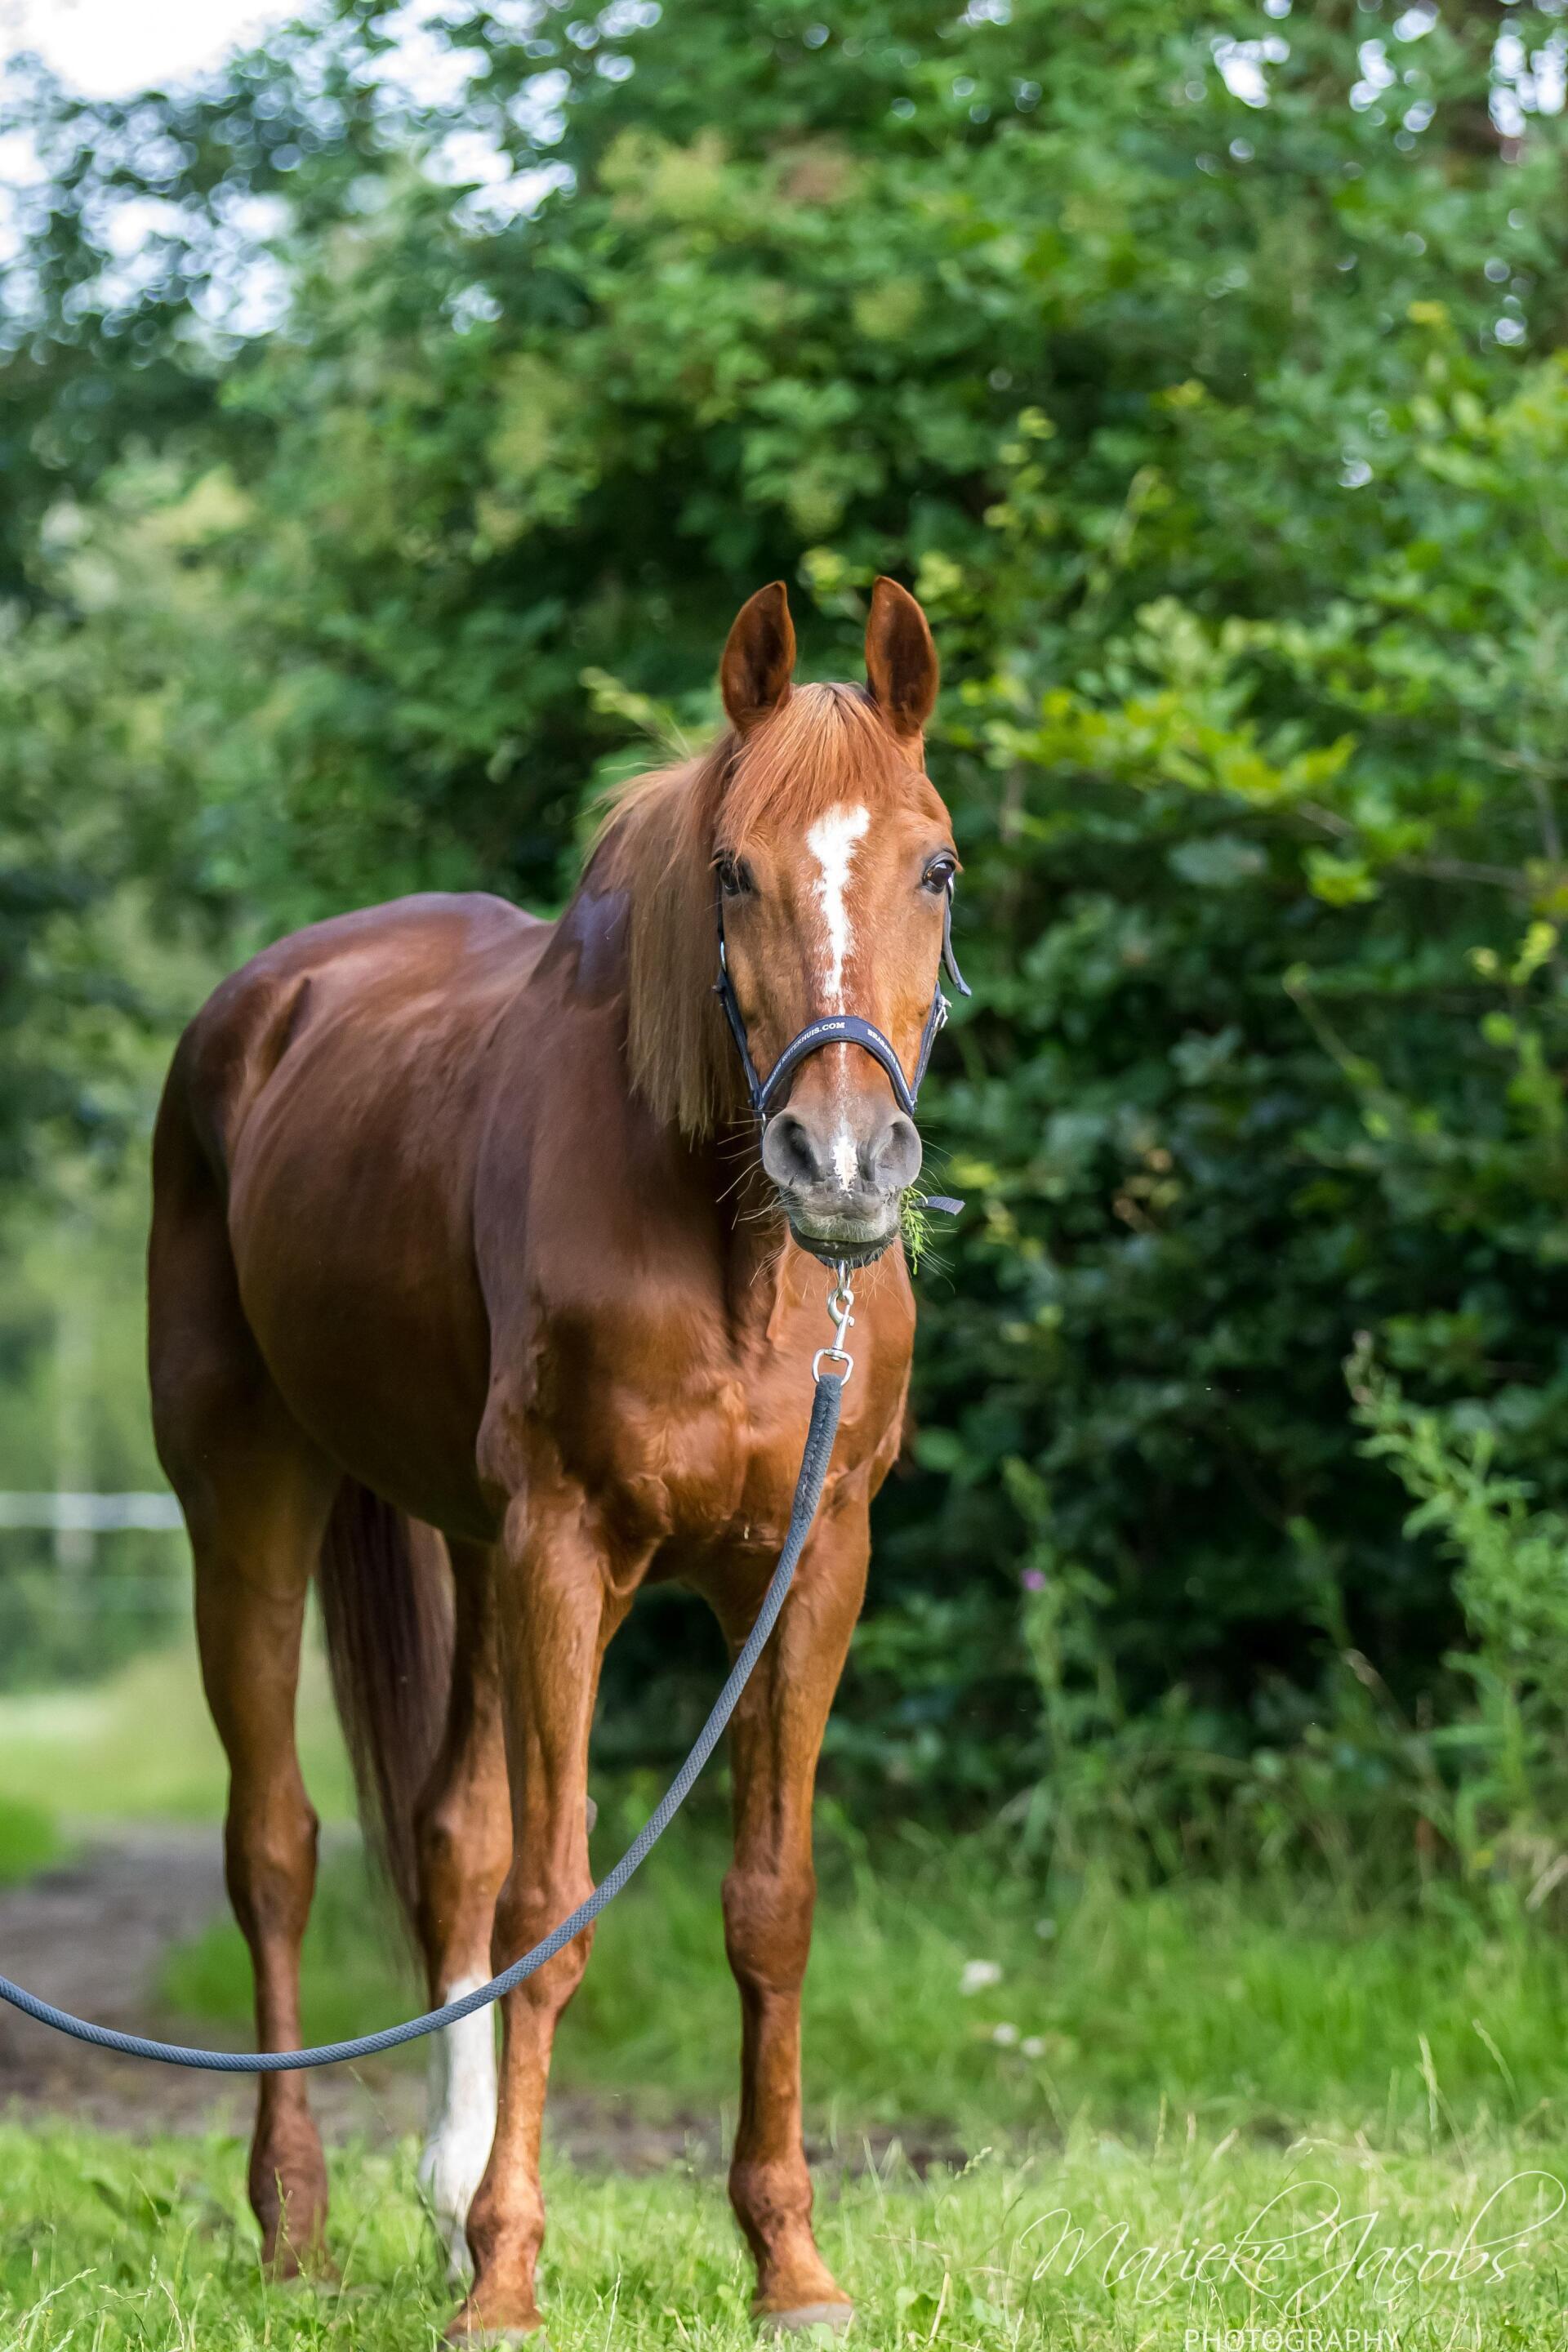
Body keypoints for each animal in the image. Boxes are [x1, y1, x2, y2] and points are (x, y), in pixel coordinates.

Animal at [147, 576, 960, 2340]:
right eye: (731, 872)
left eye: (936, 866)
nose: (844, 1162)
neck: (733, 1253)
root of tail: (264, 1005)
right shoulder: (564, 1549)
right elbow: (552, 1900)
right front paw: (509, 2278)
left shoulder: (814, 1563)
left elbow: (766, 1906)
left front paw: (789, 2264)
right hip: (252, 1499)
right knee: (278, 1850)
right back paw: (296, 2222)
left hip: (460, 1537)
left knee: (445, 1841)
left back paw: (443, 2191)